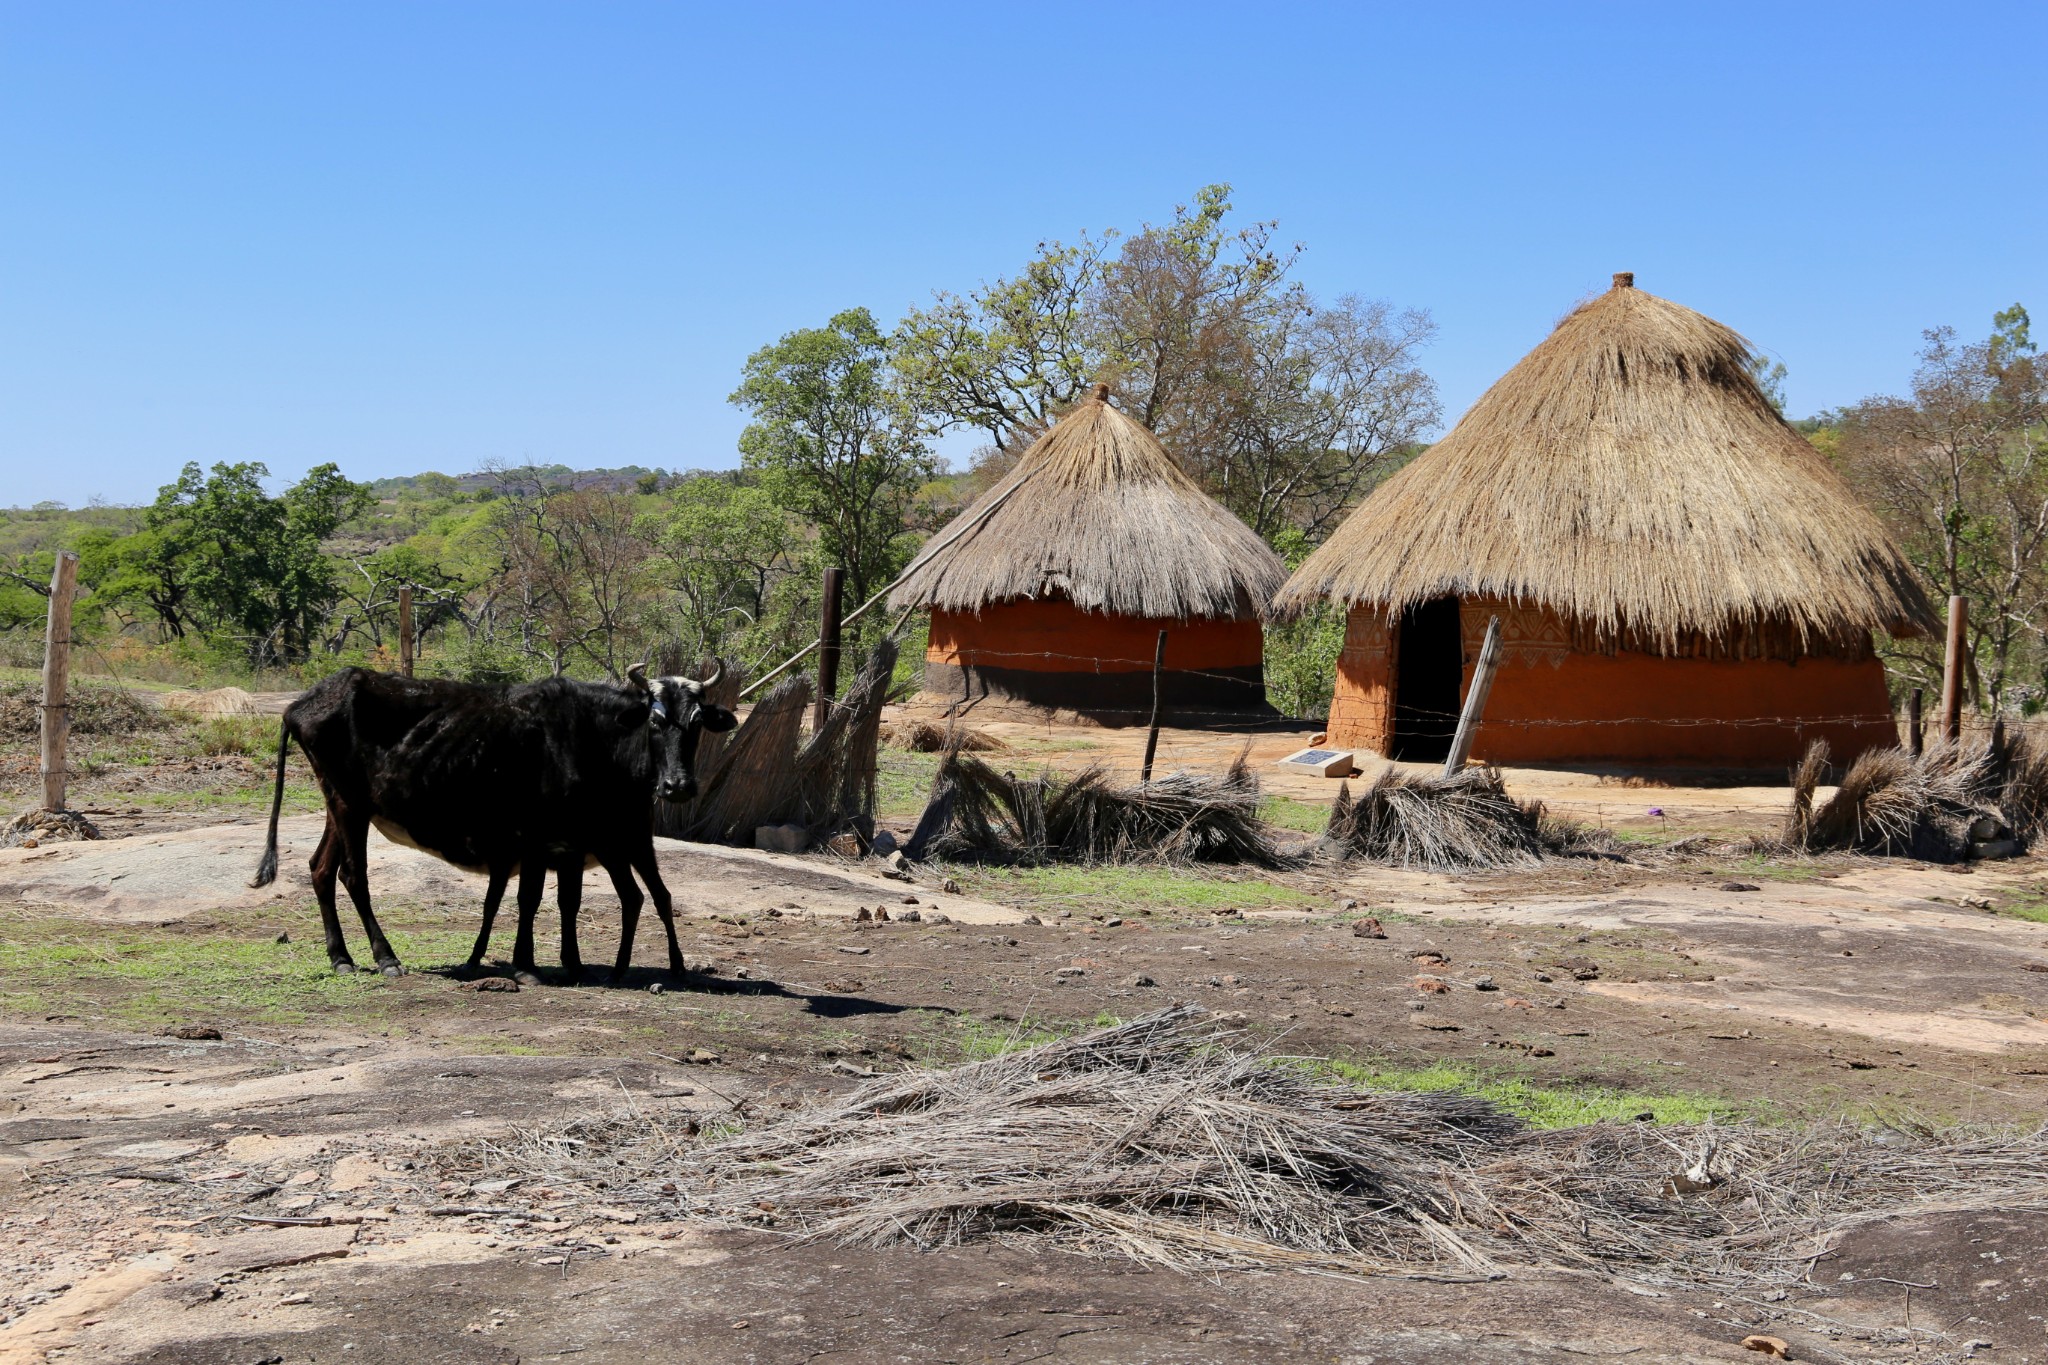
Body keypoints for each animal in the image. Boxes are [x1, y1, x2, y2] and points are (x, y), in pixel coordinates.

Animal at [251, 663, 737, 982]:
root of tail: (304, 701)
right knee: (354, 875)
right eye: (655, 721)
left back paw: (341, 957)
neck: (587, 736)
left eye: (697, 723)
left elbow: (564, 901)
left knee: (320, 869)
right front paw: (525, 966)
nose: (678, 786)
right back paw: (386, 957)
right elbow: (529, 899)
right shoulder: (538, 838)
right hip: (349, 806)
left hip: (343, 807)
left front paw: (571, 963)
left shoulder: (568, 844)